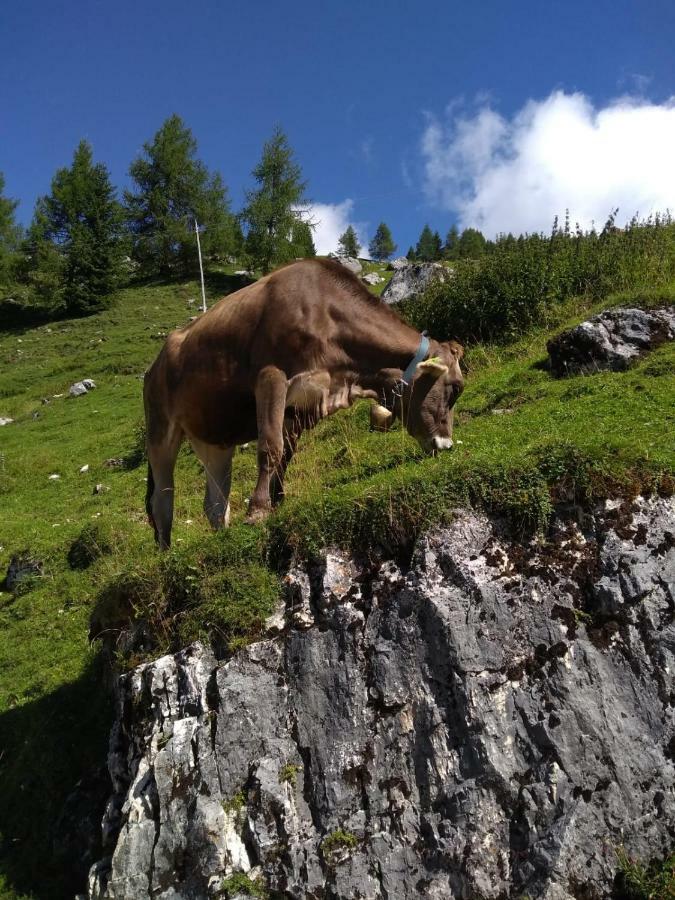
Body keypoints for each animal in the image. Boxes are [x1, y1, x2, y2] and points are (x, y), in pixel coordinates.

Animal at [145, 256, 462, 544]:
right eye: (455, 389)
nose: (446, 444)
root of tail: (154, 363)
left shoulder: (301, 405)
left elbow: (285, 455)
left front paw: (276, 502)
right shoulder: (270, 377)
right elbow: (270, 448)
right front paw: (258, 511)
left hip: (214, 439)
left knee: (213, 503)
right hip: (160, 431)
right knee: (161, 499)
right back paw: (166, 552)